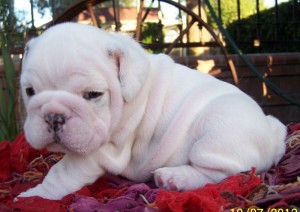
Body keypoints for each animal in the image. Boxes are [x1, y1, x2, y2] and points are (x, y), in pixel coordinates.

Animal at [18, 23, 286, 200]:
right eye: (30, 91)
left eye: (93, 94)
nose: (54, 116)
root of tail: (275, 135)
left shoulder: (100, 152)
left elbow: (60, 174)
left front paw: (31, 196)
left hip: (216, 133)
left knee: (229, 175)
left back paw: (175, 178)